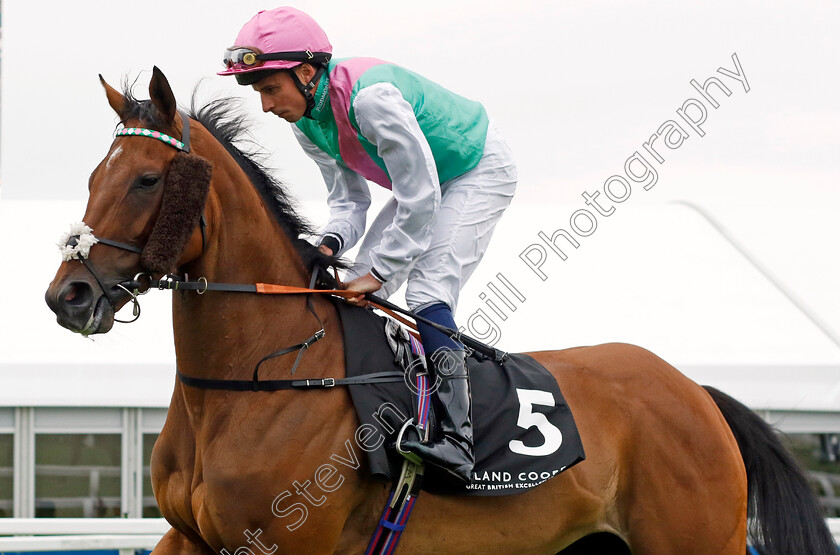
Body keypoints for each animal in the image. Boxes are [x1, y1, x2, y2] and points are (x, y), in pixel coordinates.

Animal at [44, 69, 832, 555]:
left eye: (147, 179)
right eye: (92, 177)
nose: (66, 295)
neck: (262, 374)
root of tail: (695, 390)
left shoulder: (283, 539)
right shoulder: (189, 535)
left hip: (700, 537)